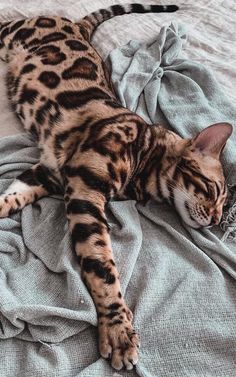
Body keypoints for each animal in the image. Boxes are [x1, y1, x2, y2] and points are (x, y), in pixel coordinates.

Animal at [0, 2, 232, 370]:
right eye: (212, 192)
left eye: (224, 208)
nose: (214, 220)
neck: (145, 157)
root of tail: (78, 26)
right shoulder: (85, 192)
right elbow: (102, 267)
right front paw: (119, 329)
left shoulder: (50, 173)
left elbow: (10, 197)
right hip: (11, 33)